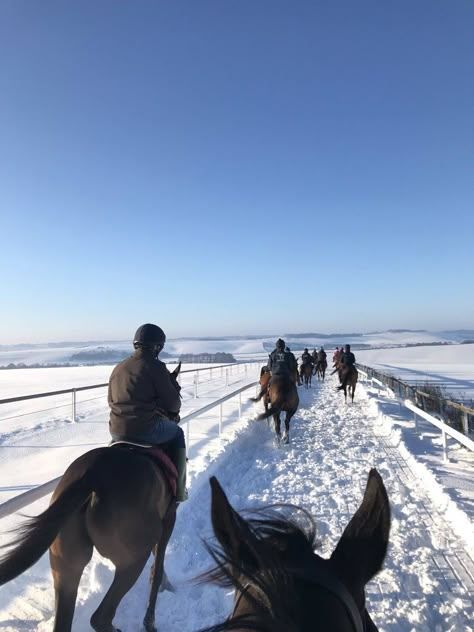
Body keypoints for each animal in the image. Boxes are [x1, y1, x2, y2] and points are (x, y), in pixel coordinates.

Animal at [0, 366, 181, 632]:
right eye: (176, 389)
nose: (175, 415)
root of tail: (90, 476)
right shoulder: (169, 519)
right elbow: (156, 571)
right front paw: (151, 619)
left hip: (66, 567)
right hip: (131, 559)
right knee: (101, 617)